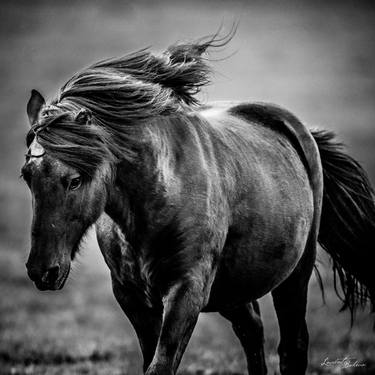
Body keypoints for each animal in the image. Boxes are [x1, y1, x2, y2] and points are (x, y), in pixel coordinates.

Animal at [21, 33, 375, 374]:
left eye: (75, 179)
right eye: (26, 175)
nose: (43, 271)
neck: (156, 199)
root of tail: (298, 130)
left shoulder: (187, 291)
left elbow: (161, 365)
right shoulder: (133, 297)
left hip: (294, 275)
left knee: (292, 347)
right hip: (233, 289)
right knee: (252, 330)